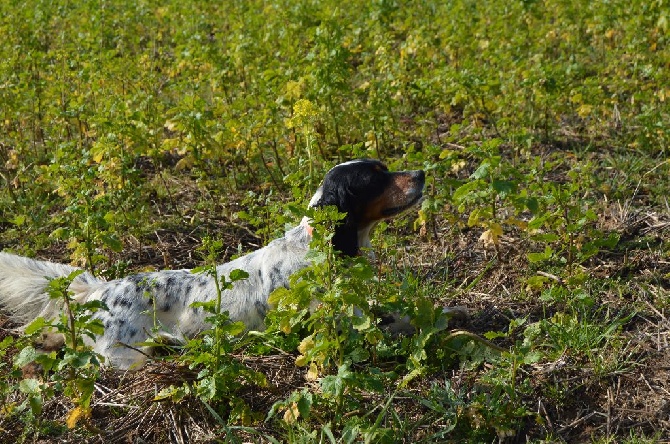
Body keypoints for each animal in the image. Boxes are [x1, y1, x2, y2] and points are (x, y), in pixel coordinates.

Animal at [0, 160, 428, 368]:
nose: (423, 173)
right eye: (375, 178)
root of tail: (102, 289)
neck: (314, 246)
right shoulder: (335, 327)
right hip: (128, 358)